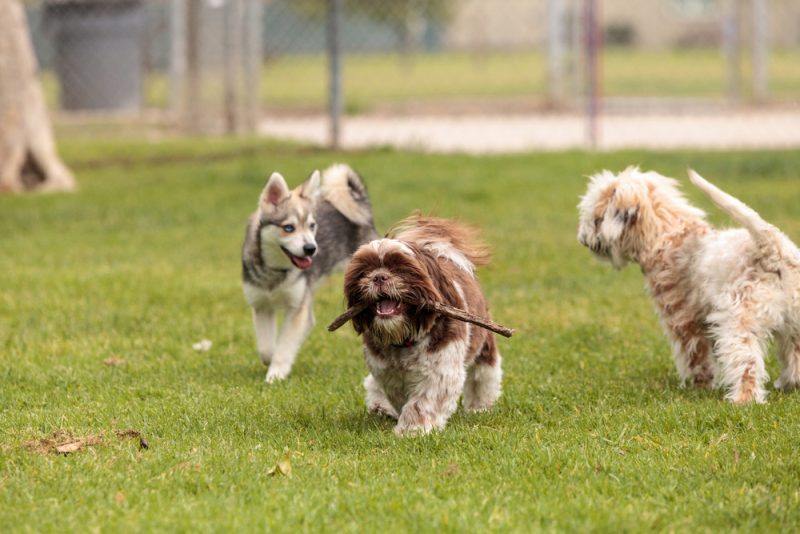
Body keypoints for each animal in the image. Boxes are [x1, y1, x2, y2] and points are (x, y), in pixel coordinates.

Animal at [241, 165, 378, 384]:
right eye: (289, 228)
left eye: (312, 226)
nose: (311, 249)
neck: (276, 271)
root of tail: (359, 201)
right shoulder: (261, 305)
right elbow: (267, 348)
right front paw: (273, 360)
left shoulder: (296, 306)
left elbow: (284, 344)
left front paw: (276, 374)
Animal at [580, 170, 800, 404]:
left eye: (596, 219)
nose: (583, 239)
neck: (667, 238)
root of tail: (774, 250)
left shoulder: (682, 320)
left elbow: (695, 357)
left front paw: (699, 387)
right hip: (793, 328)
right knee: (794, 362)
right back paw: (787, 385)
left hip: (737, 325)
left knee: (747, 365)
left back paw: (743, 400)